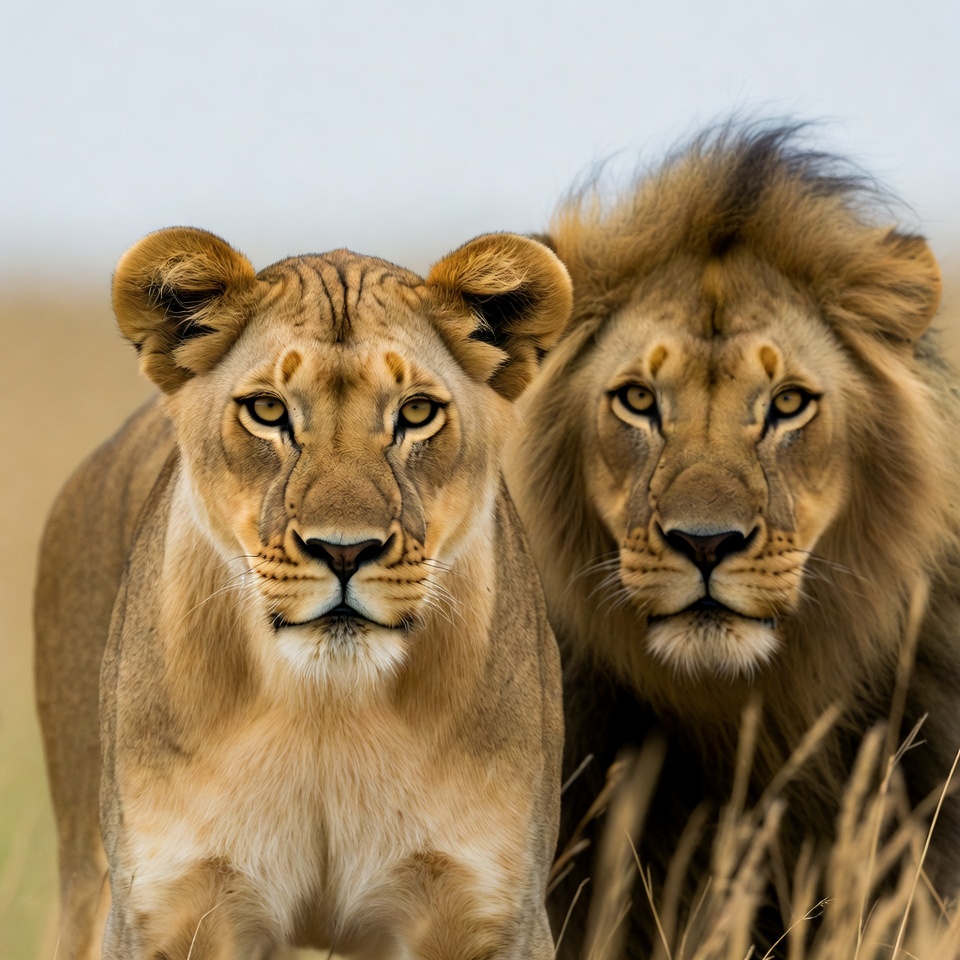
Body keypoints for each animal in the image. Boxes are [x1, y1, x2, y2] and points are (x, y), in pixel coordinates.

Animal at [34, 226, 572, 959]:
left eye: (417, 413)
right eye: (267, 410)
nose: (344, 550)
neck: (325, 711)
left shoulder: (495, 911)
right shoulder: (165, 908)